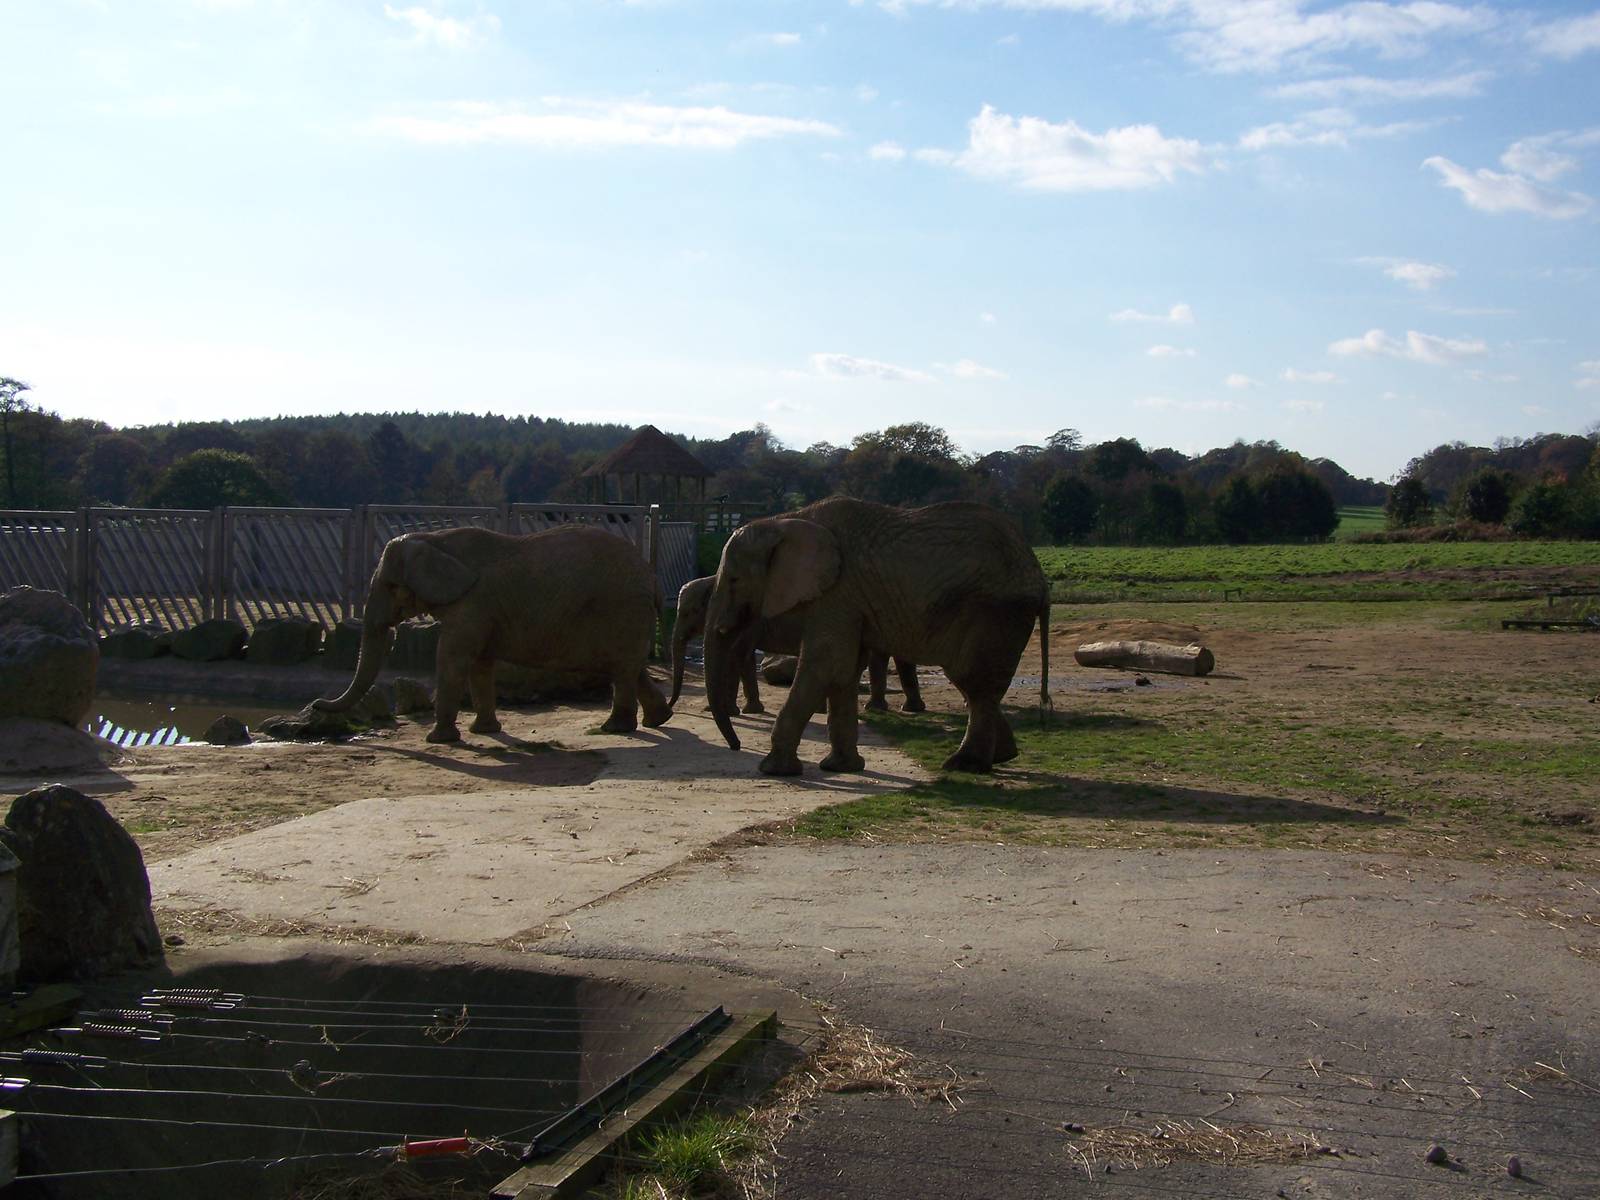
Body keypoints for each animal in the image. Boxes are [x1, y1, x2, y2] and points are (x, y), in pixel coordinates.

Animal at [314, 525, 671, 743]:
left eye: (390, 586)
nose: (317, 703)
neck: (436, 539)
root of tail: (652, 578)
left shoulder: (471, 605)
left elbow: (452, 659)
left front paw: (439, 740)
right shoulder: (480, 612)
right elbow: (480, 665)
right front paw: (484, 731)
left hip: (623, 610)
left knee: (622, 669)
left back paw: (615, 729)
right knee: (629, 668)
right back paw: (657, 721)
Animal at [669, 574, 925, 716]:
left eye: (689, 612)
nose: (672, 707)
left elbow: (737, 656)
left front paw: (731, 712)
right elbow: (744, 658)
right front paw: (750, 711)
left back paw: (875, 709)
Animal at [703, 497, 1049, 776]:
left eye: (734, 580)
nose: (736, 746)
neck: (784, 521)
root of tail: (1038, 573)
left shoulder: (837, 593)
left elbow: (826, 665)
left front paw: (775, 771)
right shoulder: (846, 601)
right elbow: (844, 671)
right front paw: (841, 768)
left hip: (995, 611)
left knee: (974, 681)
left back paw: (965, 765)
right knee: (973, 683)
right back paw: (1002, 758)